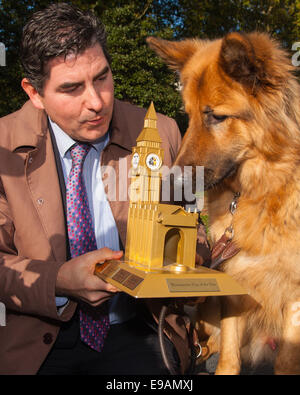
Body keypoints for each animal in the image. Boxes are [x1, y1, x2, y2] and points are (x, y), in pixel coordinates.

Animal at [148, 33, 300, 374]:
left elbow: (286, 360)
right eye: (188, 115)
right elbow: (229, 357)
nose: (172, 185)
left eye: (217, 116)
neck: (260, 191)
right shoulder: (234, 286)